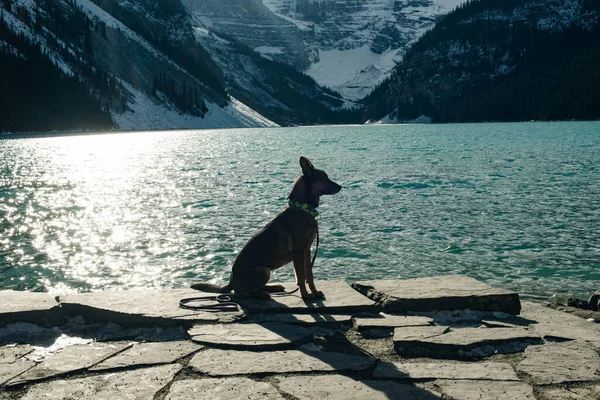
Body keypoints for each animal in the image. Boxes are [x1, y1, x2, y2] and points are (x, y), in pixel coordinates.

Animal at [192, 158, 342, 298]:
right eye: (324, 178)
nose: (340, 187)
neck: (303, 208)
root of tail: (231, 281)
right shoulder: (299, 252)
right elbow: (300, 277)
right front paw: (305, 295)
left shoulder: (306, 251)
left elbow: (309, 275)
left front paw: (315, 292)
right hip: (263, 271)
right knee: (242, 293)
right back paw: (261, 294)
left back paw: (273, 287)